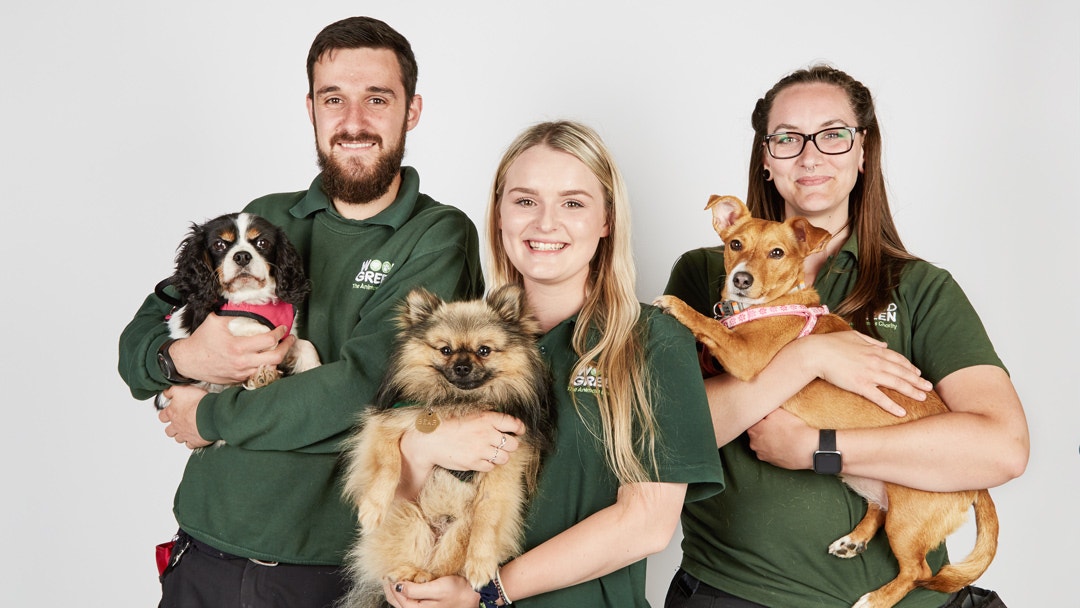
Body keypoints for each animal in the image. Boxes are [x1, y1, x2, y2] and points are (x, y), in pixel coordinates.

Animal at [339, 285, 561, 608]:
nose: (462, 366)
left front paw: (480, 563)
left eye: (484, 350)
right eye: (445, 350)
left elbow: (489, 511)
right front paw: (372, 509)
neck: (461, 403)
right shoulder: (387, 424)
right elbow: (388, 465)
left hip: (459, 530)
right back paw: (409, 573)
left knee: (442, 566)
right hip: (410, 518)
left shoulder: (506, 462)